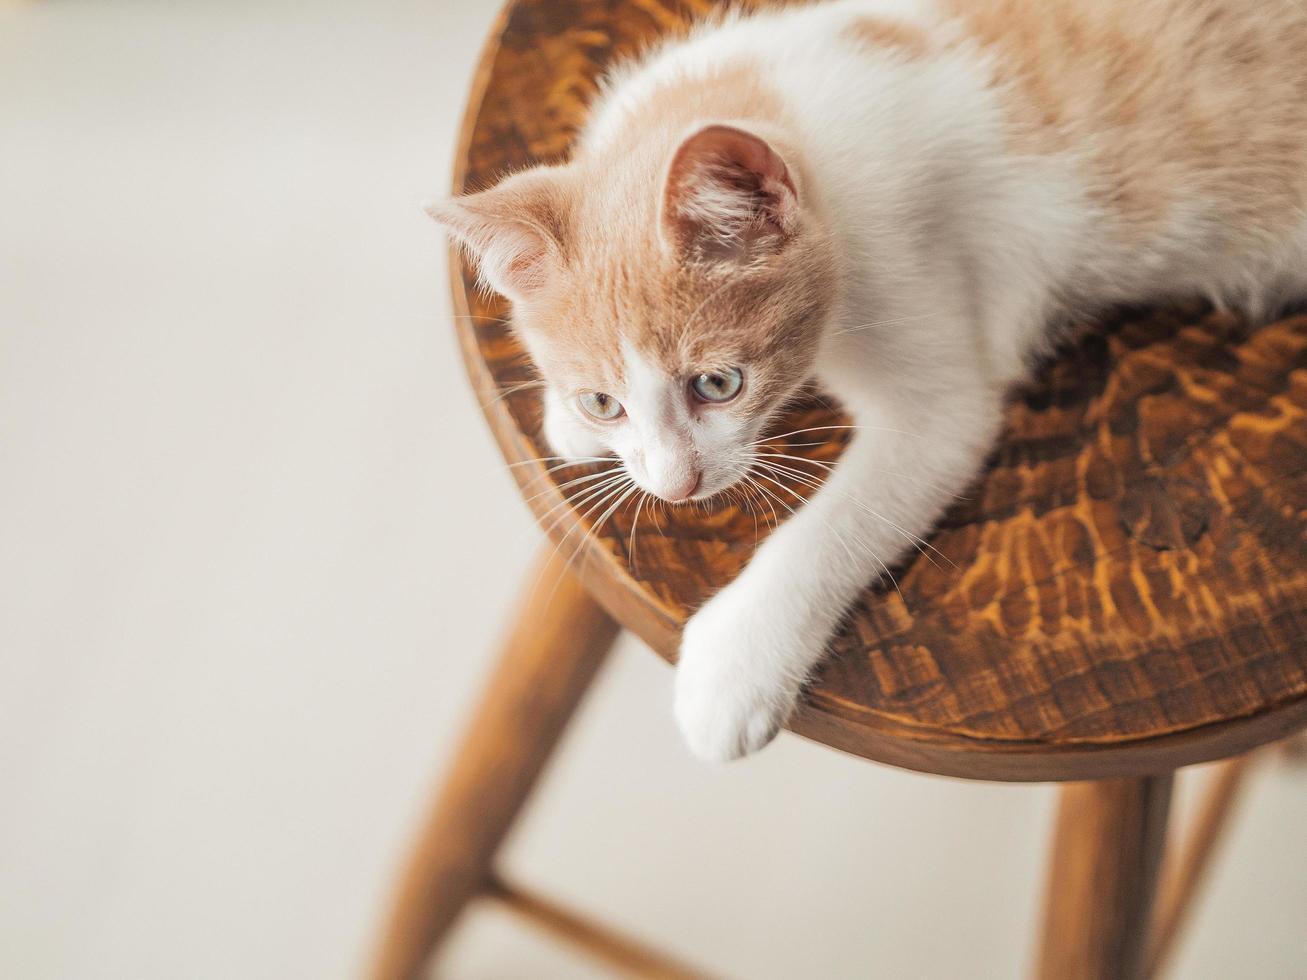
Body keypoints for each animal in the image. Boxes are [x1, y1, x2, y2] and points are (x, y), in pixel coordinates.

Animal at [431, 0, 1307, 763]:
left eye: (718, 384)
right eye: (604, 400)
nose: (677, 487)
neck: (775, 101)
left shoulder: (926, 346)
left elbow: (842, 520)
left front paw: (735, 663)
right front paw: (569, 426)